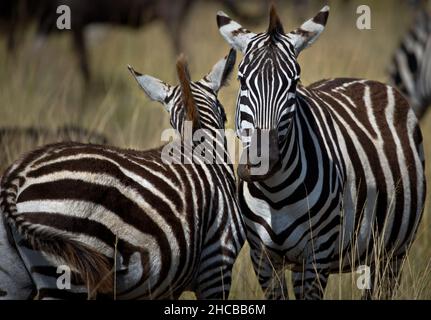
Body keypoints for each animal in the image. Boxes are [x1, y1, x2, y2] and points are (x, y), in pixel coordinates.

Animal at [0, 48, 246, 298]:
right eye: (225, 115)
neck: (200, 146)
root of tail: (18, 177)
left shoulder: (169, 285)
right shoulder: (216, 263)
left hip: (12, 278)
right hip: (67, 273)